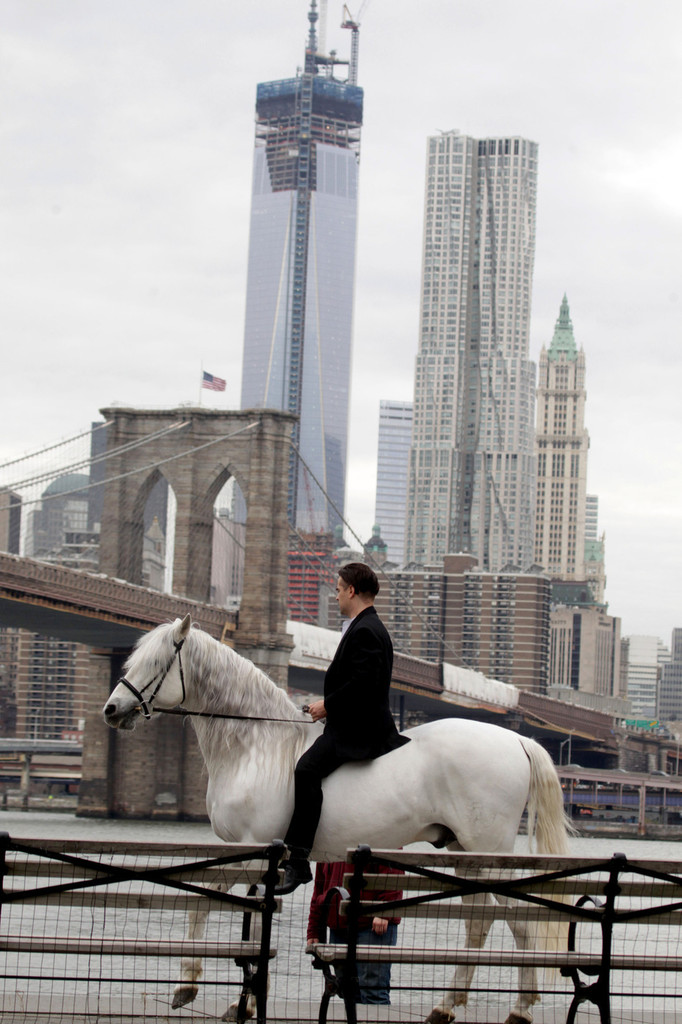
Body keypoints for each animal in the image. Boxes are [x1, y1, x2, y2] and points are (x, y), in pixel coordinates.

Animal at [100, 614, 569, 1024]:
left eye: (157, 662)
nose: (111, 709)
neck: (256, 745)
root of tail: (517, 739)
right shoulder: (252, 854)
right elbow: (235, 914)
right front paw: (231, 998)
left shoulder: (251, 851)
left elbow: (223, 909)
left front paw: (203, 990)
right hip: (463, 851)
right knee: (481, 918)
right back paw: (447, 1006)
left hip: (489, 852)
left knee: (517, 919)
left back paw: (518, 1009)